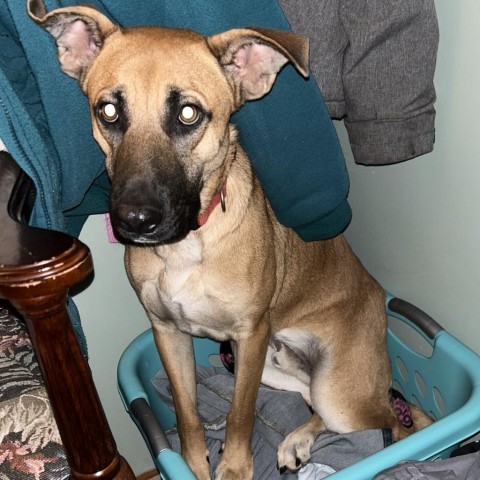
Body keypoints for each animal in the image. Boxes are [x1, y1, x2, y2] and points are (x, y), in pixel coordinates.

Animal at [28, 1, 434, 478]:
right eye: (108, 111)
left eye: (188, 114)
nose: (134, 220)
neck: (188, 246)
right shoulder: (170, 334)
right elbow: (187, 413)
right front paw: (193, 464)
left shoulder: (250, 336)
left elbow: (240, 415)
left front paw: (234, 467)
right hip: (274, 367)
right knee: (313, 401)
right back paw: (296, 441)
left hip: (335, 392)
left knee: (394, 423)